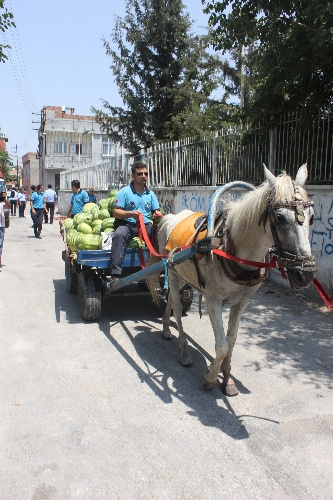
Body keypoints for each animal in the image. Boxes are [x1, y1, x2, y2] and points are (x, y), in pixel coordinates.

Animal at [148, 164, 314, 394]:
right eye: (280, 217)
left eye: (312, 217)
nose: (305, 274)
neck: (231, 247)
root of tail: (169, 218)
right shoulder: (213, 300)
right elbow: (222, 345)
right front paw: (210, 376)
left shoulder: (242, 302)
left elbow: (232, 339)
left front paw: (227, 378)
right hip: (171, 272)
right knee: (179, 312)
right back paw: (185, 352)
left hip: (180, 275)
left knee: (172, 299)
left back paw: (165, 328)